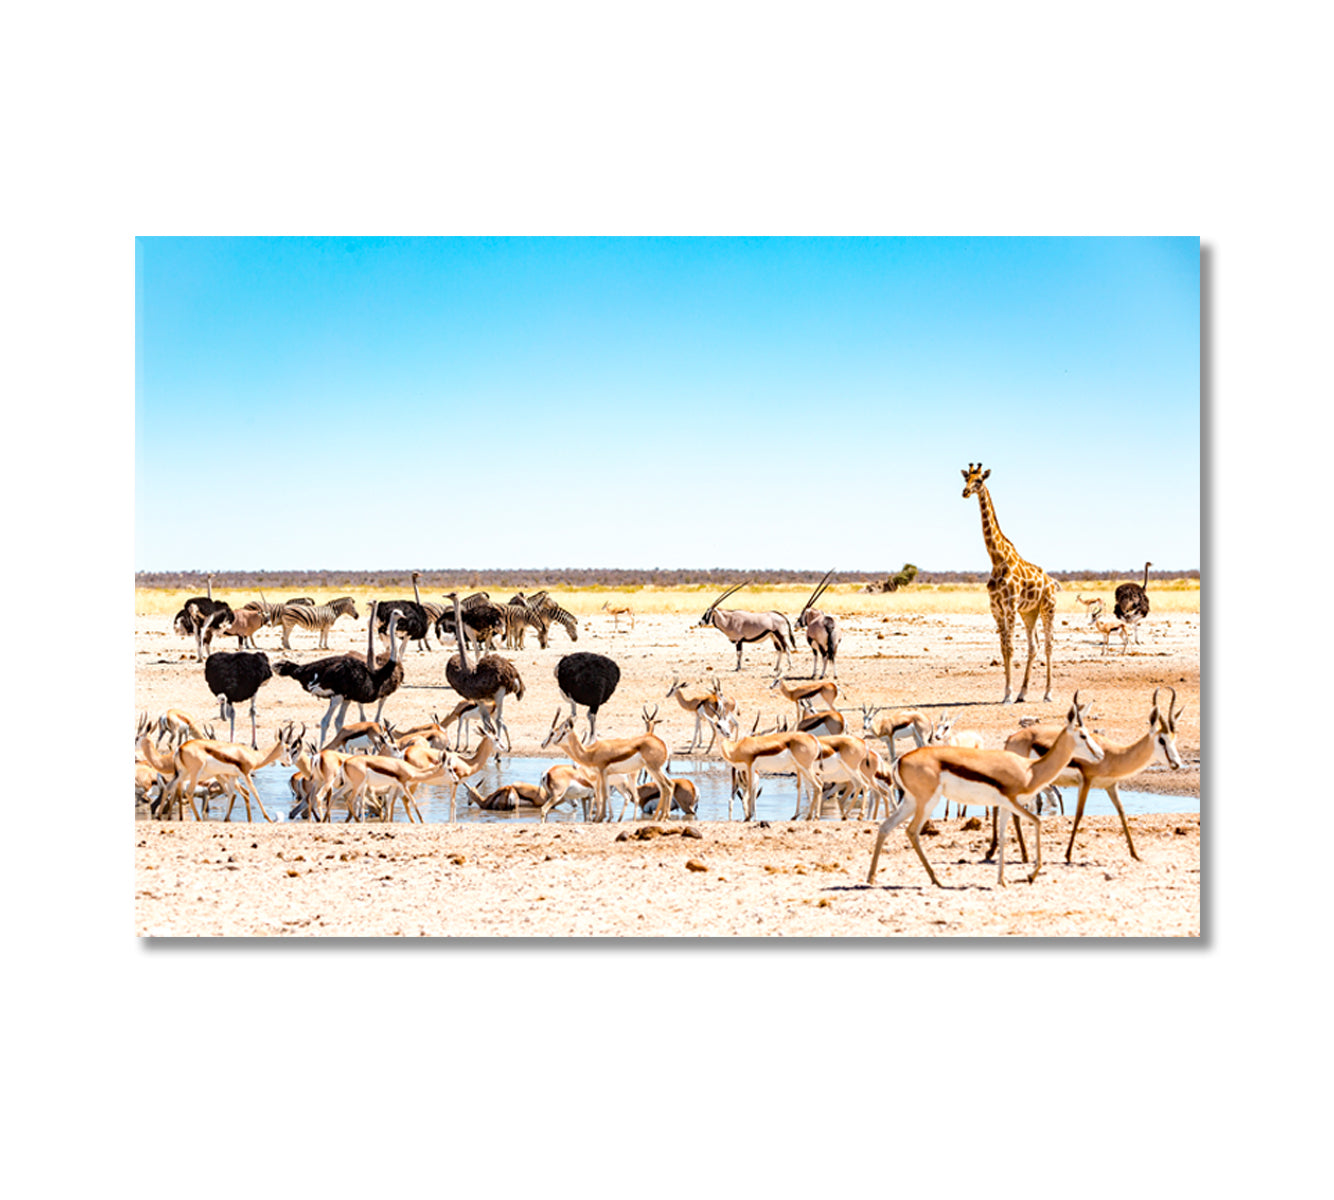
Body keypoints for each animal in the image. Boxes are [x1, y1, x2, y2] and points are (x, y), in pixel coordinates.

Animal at [960, 458, 1061, 704]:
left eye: (979, 480)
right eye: (966, 478)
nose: (965, 492)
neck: (997, 558)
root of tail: (1053, 582)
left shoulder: (1010, 605)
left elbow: (1011, 647)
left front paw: (1007, 694)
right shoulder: (996, 607)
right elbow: (1004, 647)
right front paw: (1008, 693)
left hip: (1048, 608)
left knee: (1049, 644)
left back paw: (1048, 693)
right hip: (1030, 612)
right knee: (1034, 645)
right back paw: (1023, 693)